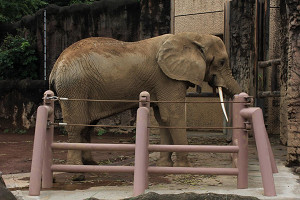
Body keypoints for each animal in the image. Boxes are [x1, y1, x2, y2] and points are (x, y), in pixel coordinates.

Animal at [49, 32, 241, 180]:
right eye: (222, 62)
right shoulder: (167, 79)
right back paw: (77, 174)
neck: (192, 36)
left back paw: (91, 164)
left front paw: (164, 166)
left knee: (88, 125)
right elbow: (173, 115)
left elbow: (163, 118)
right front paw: (185, 168)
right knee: (77, 125)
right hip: (74, 87)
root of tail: (55, 66)